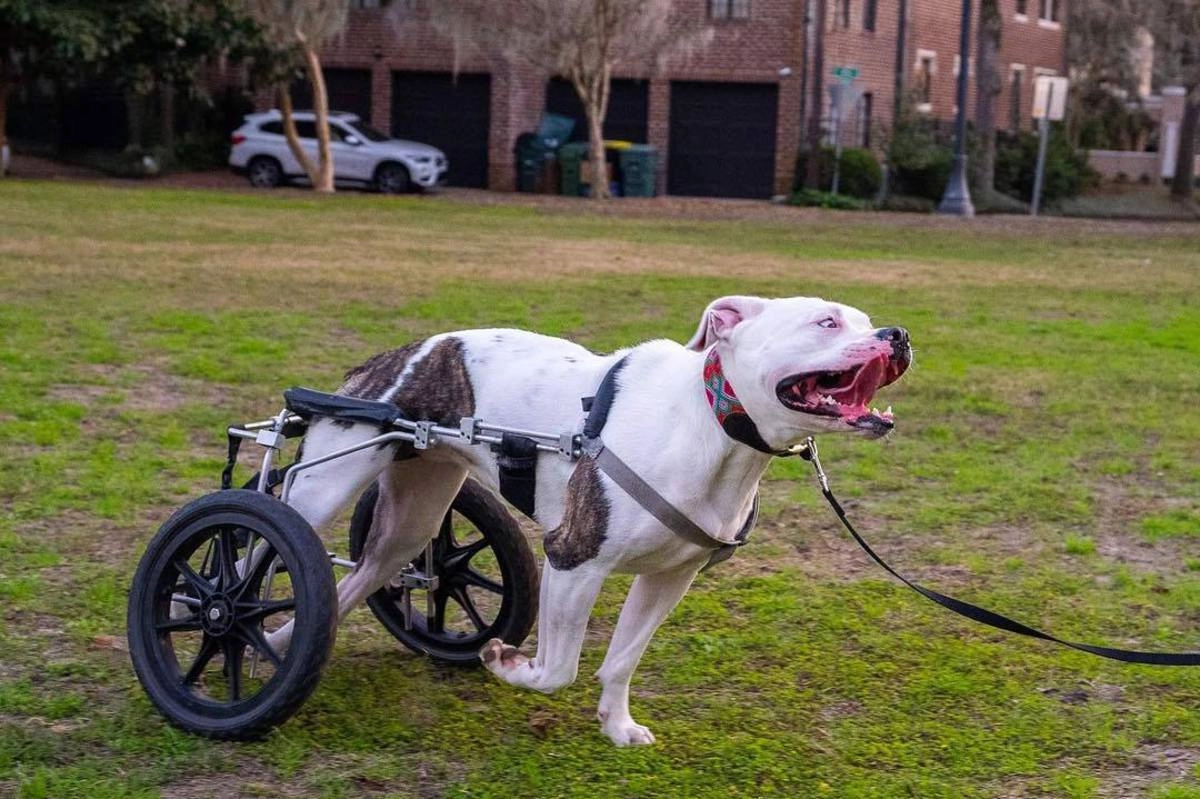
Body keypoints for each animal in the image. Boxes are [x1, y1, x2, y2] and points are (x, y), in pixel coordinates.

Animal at [274, 295, 907, 743]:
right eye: (826, 322)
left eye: (867, 320)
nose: (897, 334)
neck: (712, 423)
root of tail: (395, 355)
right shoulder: (573, 559)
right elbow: (558, 669)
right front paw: (507, 665)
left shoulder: (668, 578)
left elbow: (622, 660)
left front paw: (617, 726)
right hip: (319, 489)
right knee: (268, 544)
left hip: (415, 516)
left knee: (363, 574)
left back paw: (282, 639)